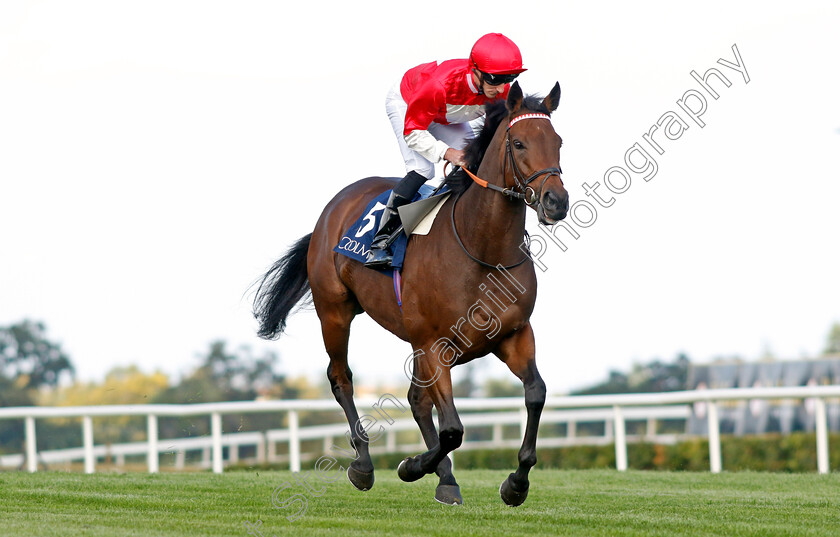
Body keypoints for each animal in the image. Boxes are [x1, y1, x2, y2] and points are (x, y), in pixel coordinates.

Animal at [254, 81, 572, 504]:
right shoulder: (434, 343)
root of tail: (335, 206)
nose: (557, 202)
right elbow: (453, 429)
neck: (482, 247)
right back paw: (365, 464)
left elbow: (536, 393)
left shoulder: (514, 335)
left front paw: (515, 483)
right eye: (519, 143)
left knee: (416, 400)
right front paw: (411, 466)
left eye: (558, 141)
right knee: (341, 379)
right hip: (335, 312)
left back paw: (445, 477)